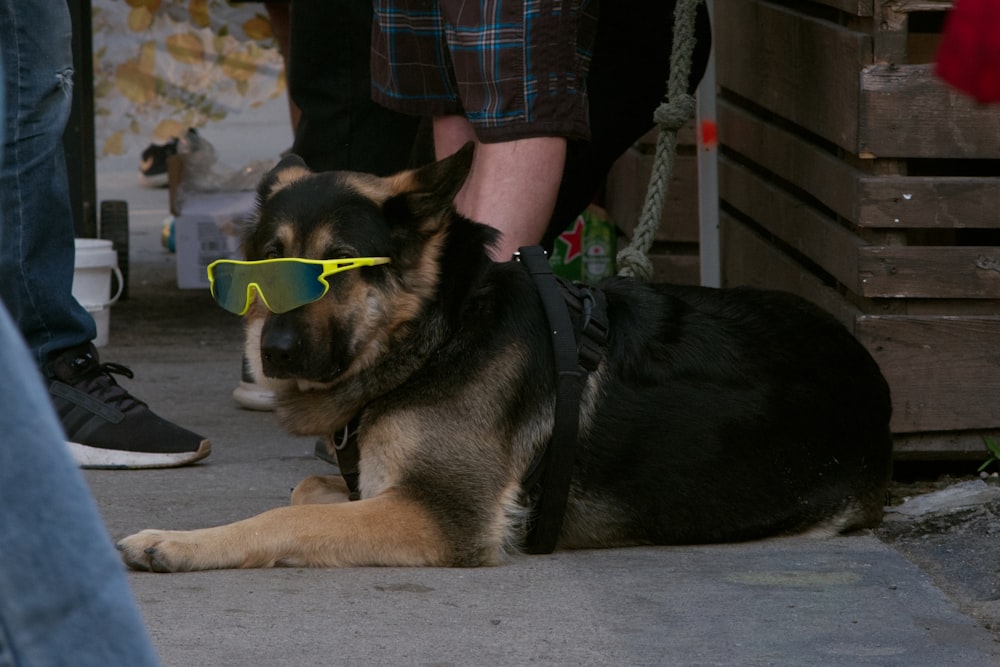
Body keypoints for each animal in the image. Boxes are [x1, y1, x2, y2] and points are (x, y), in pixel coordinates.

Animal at [117, 146, 892, 576]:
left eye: (334, 268)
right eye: (267, 267)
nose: (271, 354)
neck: (440, 330)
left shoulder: (443, 518)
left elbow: (284, 517)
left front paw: (175, 542)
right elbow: (308, 490)